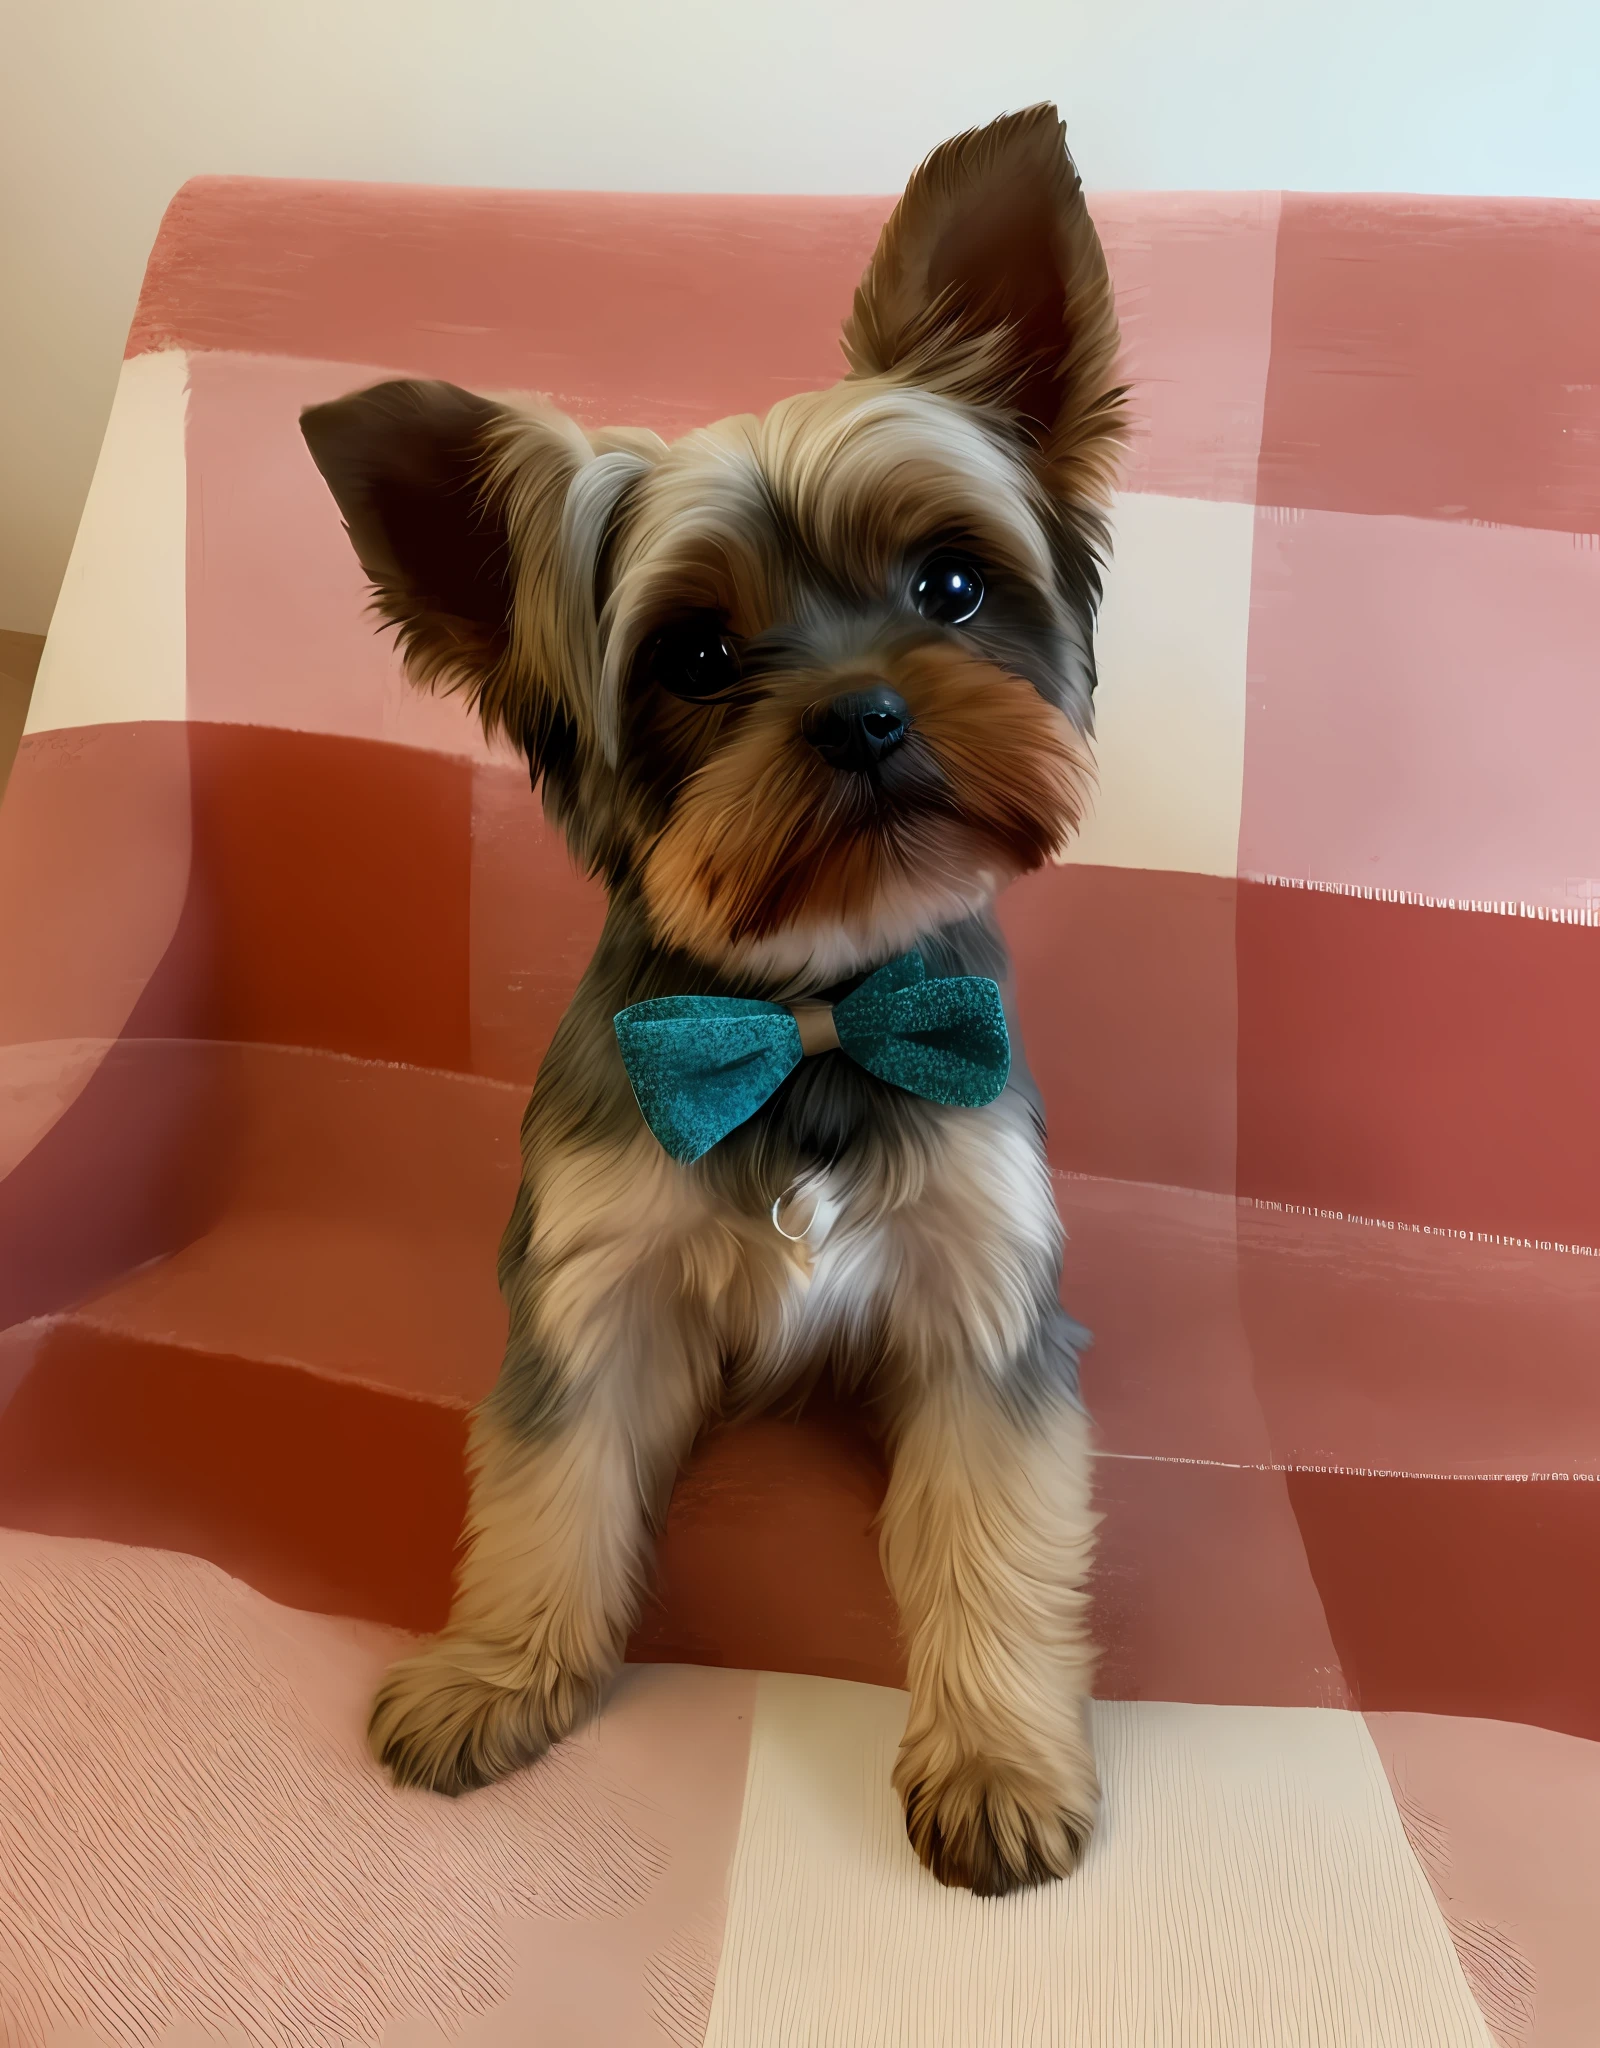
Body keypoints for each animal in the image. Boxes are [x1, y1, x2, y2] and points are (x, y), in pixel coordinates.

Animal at [303, 103, 1122, 1892]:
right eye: (691, 659)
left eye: (951, 586)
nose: (869, 714)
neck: (804, 1011)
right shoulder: (594, 1285)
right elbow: (548, 1488)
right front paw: (497, 1675)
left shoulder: (981, 1298)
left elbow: (998, 1529)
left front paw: (998, 1757)